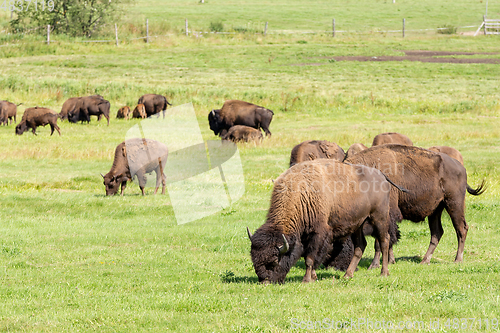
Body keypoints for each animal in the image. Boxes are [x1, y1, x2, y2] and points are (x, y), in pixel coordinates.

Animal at [248, 159, 400, 282]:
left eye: (274, 261)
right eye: (253, 258)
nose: (265, 281)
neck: (301, 193)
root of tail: (381, 176)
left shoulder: (318, 234)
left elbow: (310, 259)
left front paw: (307, 279)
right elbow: (312, 257)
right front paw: (313, 277)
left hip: (379, 218)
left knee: (384, 241)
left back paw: (383, 273)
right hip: (358, 224)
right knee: (360, 246)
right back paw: (347, 275)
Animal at [340, 144, 484, 268]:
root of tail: (461, 167)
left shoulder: (384, 215)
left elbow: (380, 241)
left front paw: (374, 265)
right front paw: (390, 261)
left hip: (454, 203)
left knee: (461, 229)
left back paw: (457, 259)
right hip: (436, 210)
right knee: (437, 233)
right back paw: (425, 260)